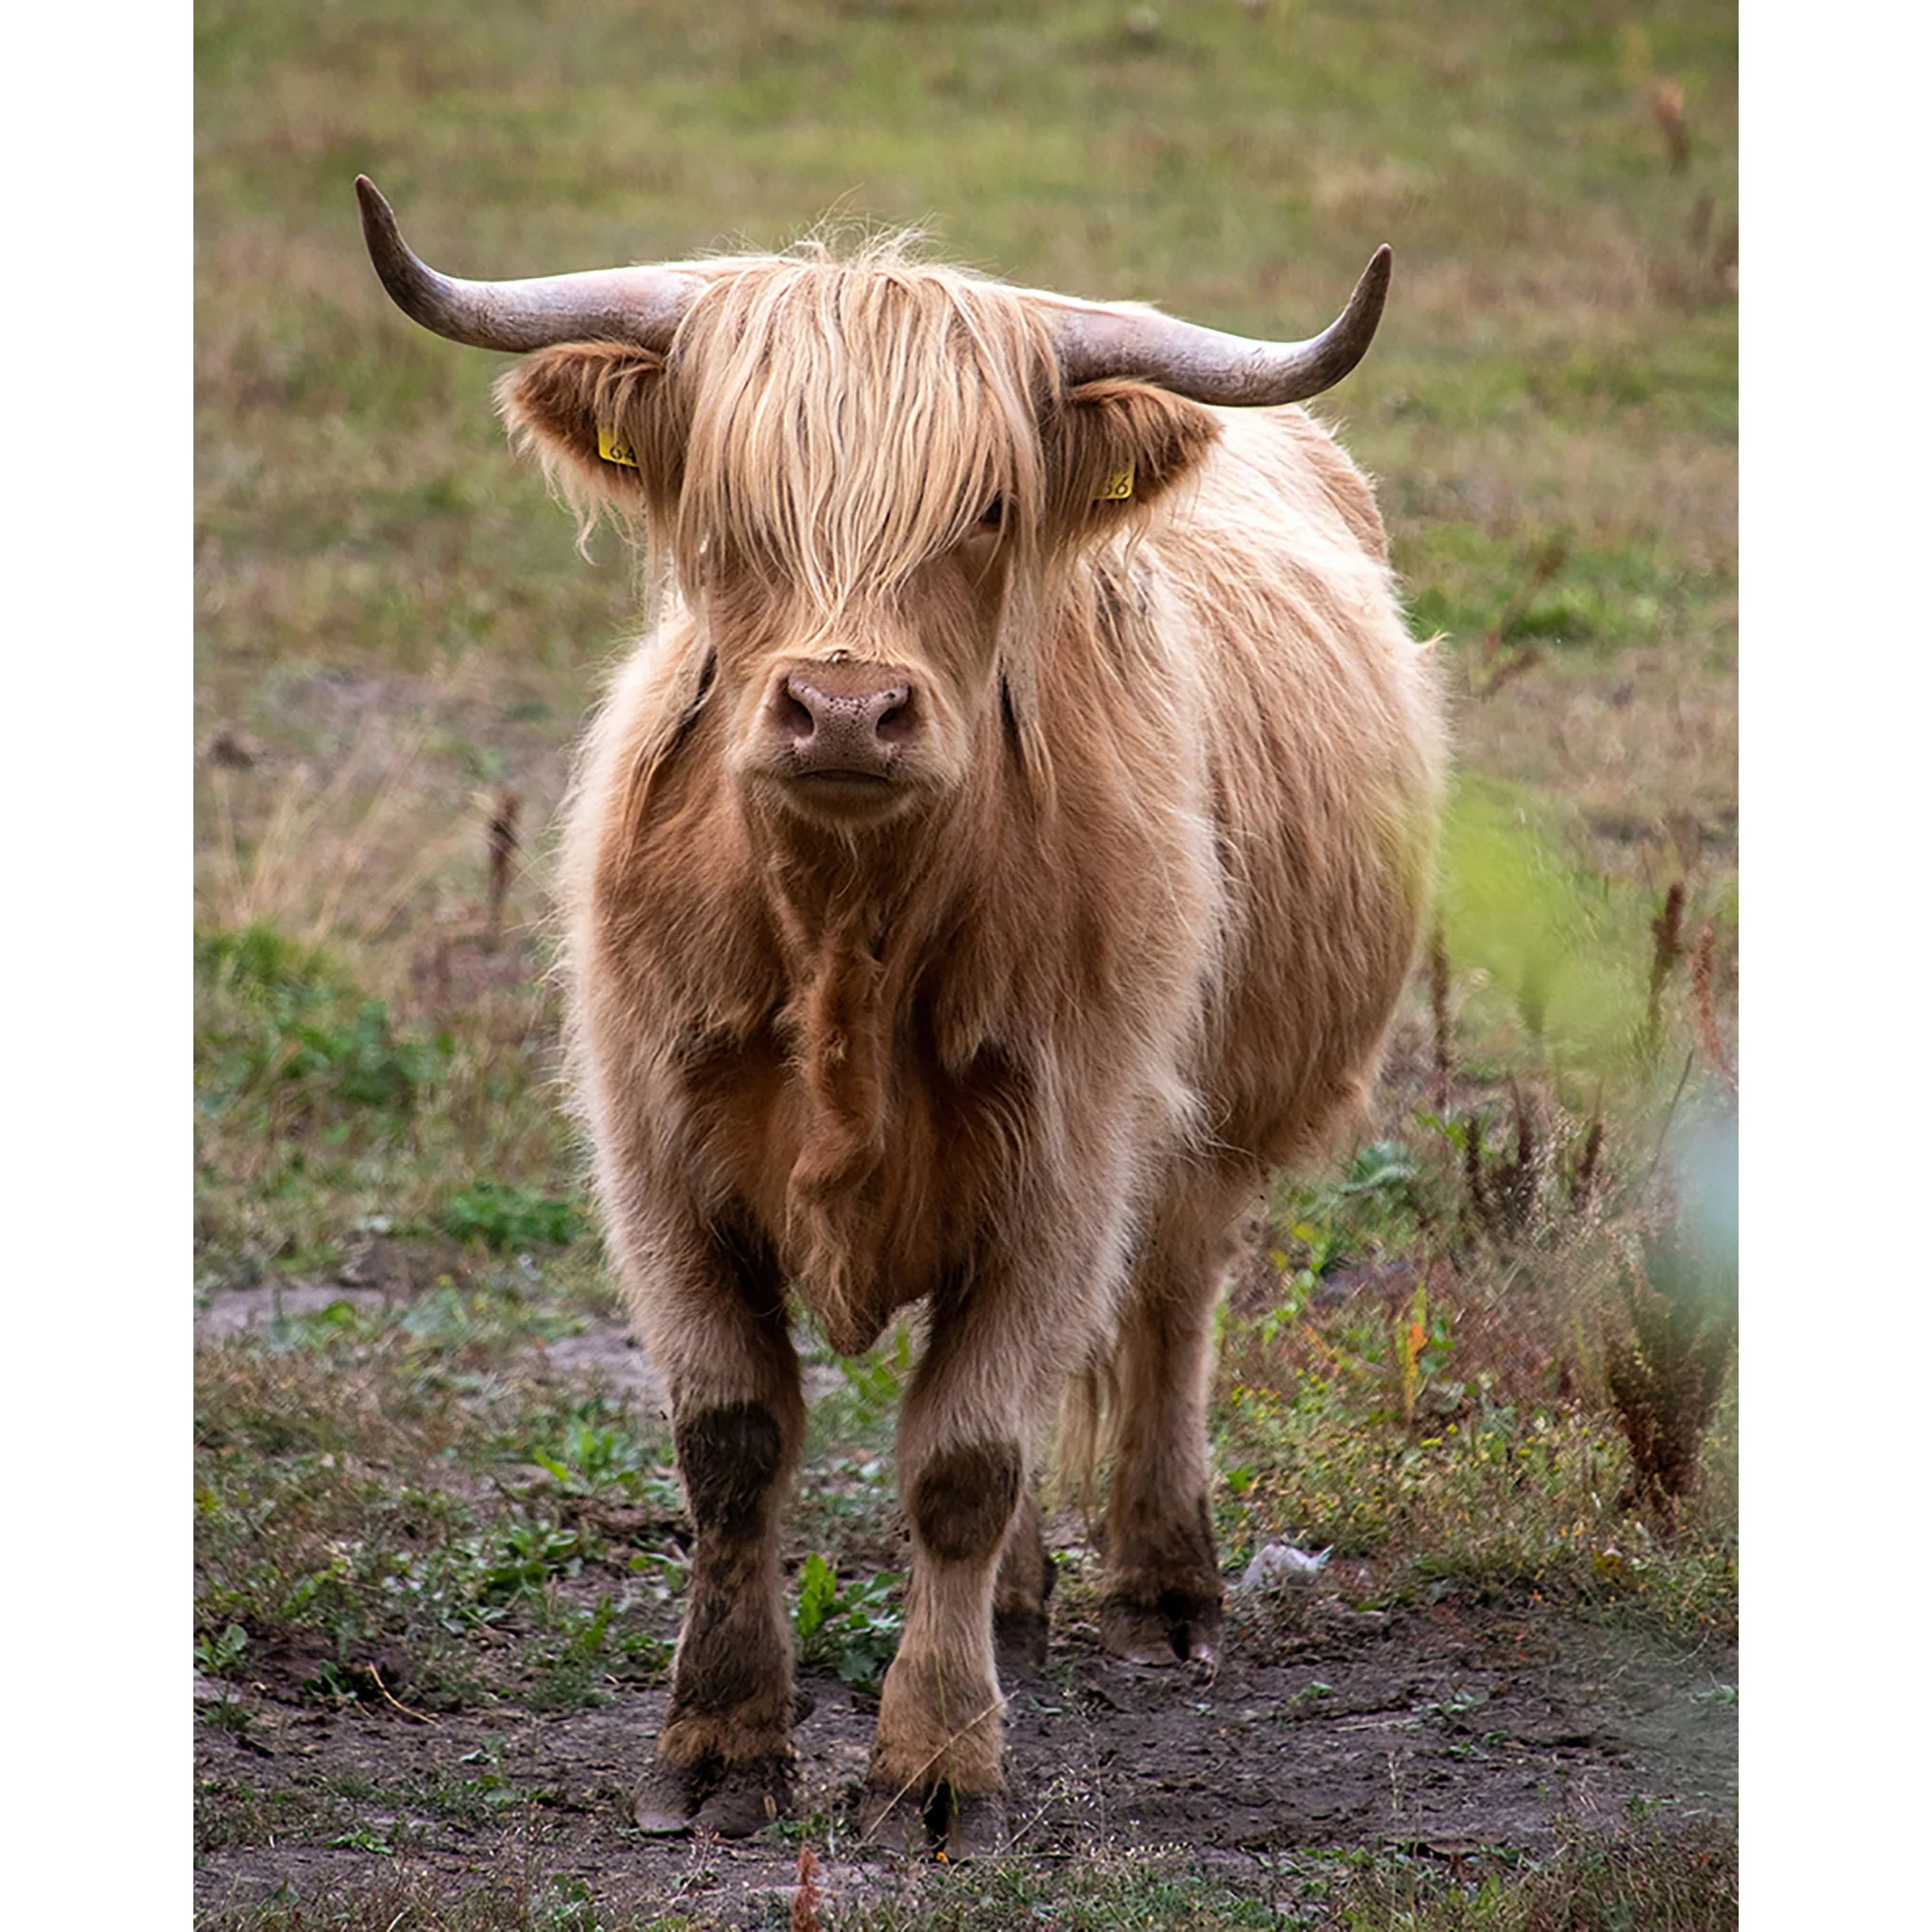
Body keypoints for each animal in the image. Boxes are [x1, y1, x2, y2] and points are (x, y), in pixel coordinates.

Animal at [356, 176, 1444, 1855]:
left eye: (986, 510)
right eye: (733, 512)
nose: (848, 712)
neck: (845, 937)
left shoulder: (1066, 1166)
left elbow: (965, 1461)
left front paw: (935, 1768)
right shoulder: (657, 1161)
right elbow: (733, 1444)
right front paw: (718, 1745)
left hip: (1205, 1137)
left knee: (1168, 1307)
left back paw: (1166, 1588)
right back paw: (1025, 1611)